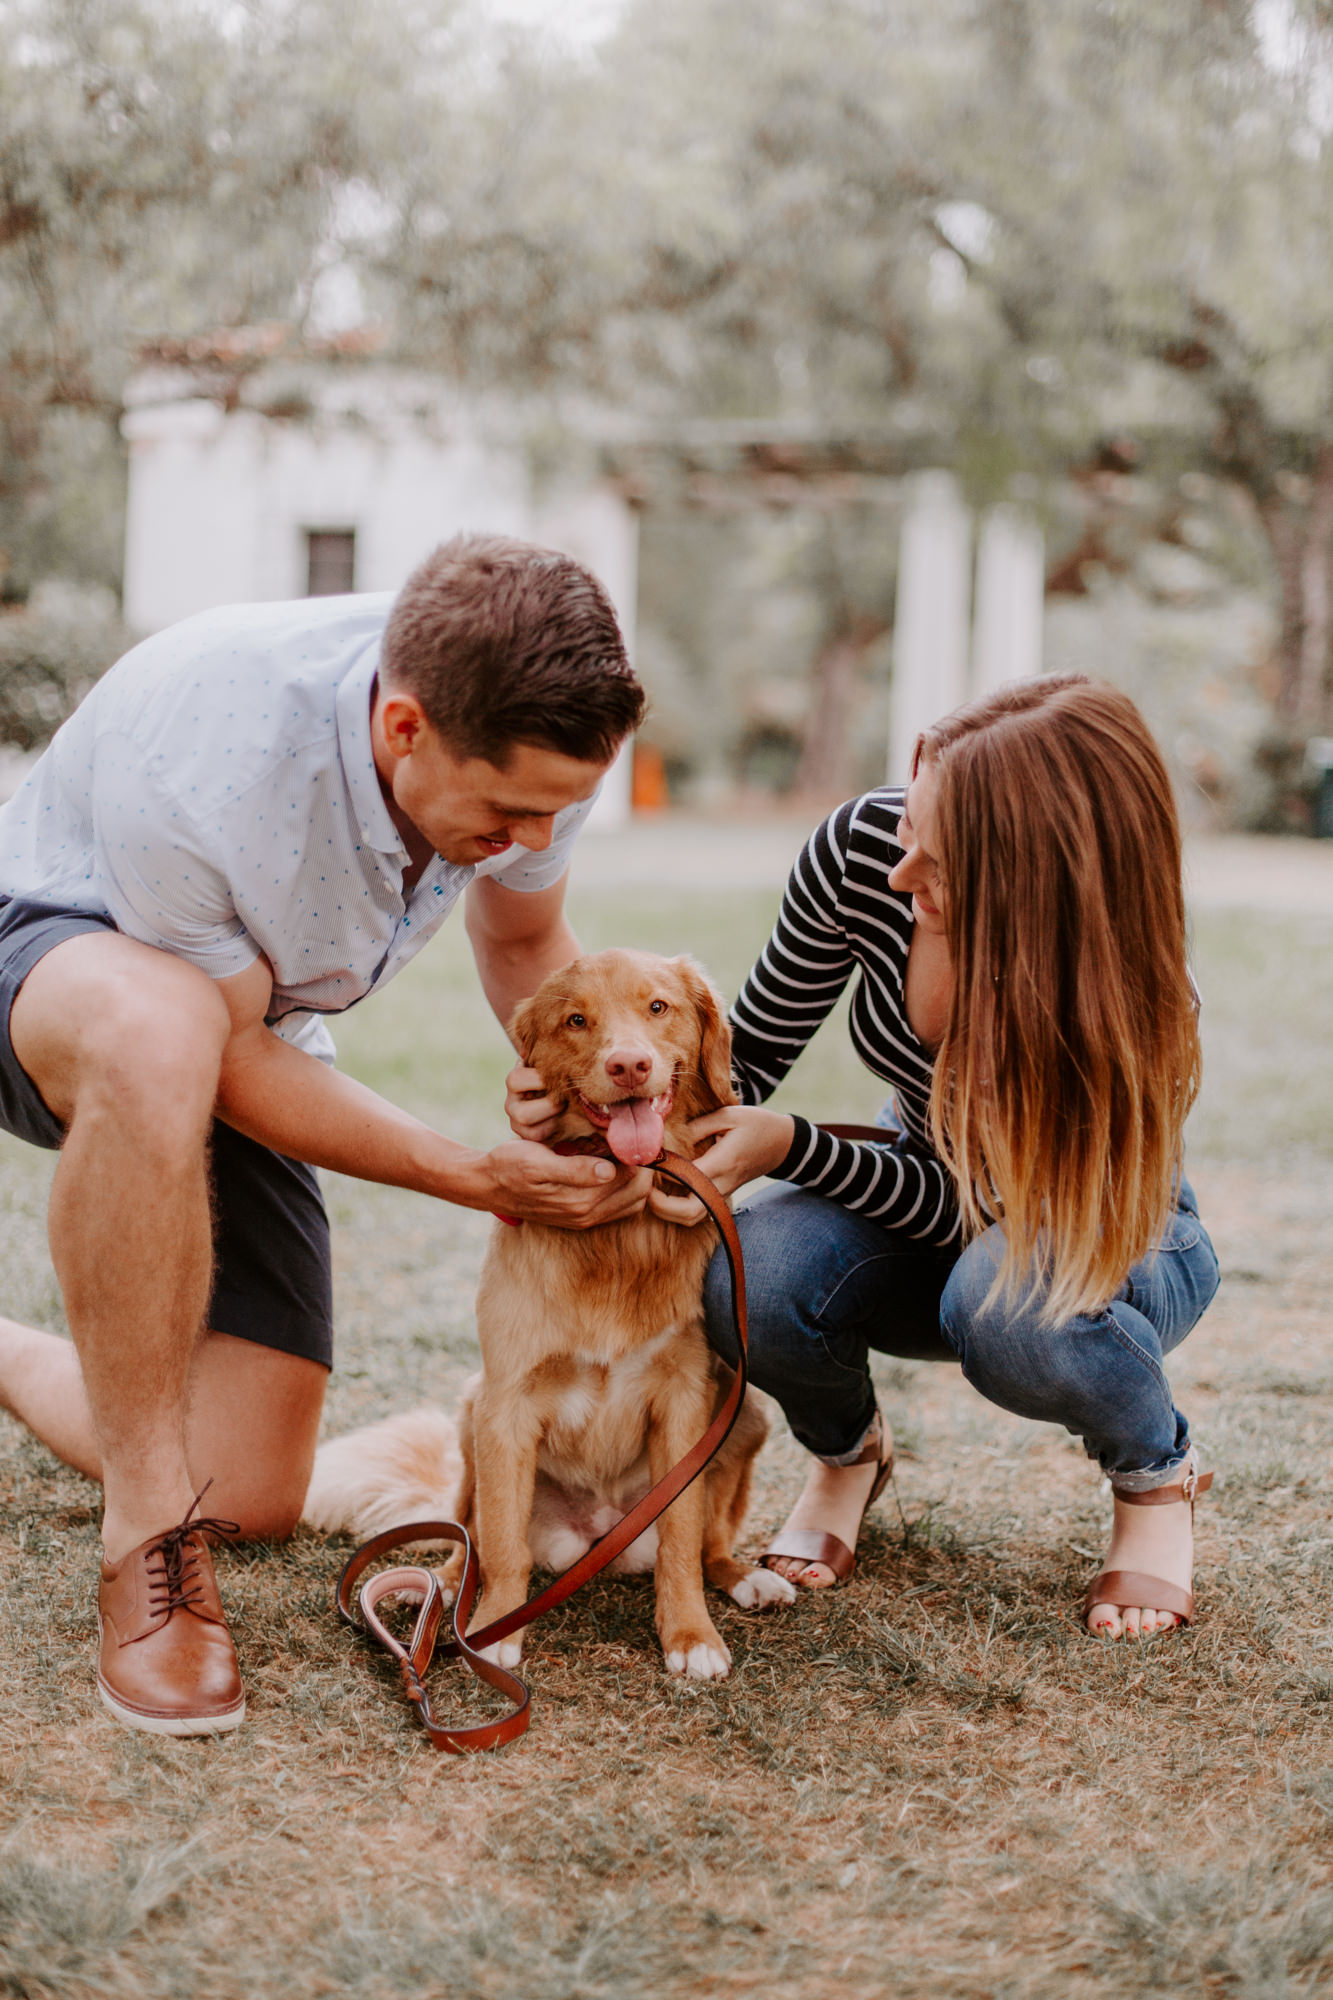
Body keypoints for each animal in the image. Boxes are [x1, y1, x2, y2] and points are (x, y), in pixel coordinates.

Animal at [304, 948, 788, 1672]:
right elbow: (502, 1542)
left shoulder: (685, 1400)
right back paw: (436, 1589)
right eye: (576, 1020)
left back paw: (746, 1578)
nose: (628, 1066)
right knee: (469, 1540)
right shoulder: (506, 1404)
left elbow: (680, 1539)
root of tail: (597, 1536)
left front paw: (690, 1636)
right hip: (470, 1411)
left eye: (658, 1007)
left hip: (744, 1408)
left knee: (709, 1546)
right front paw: (494, 1630)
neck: (619, 1242)